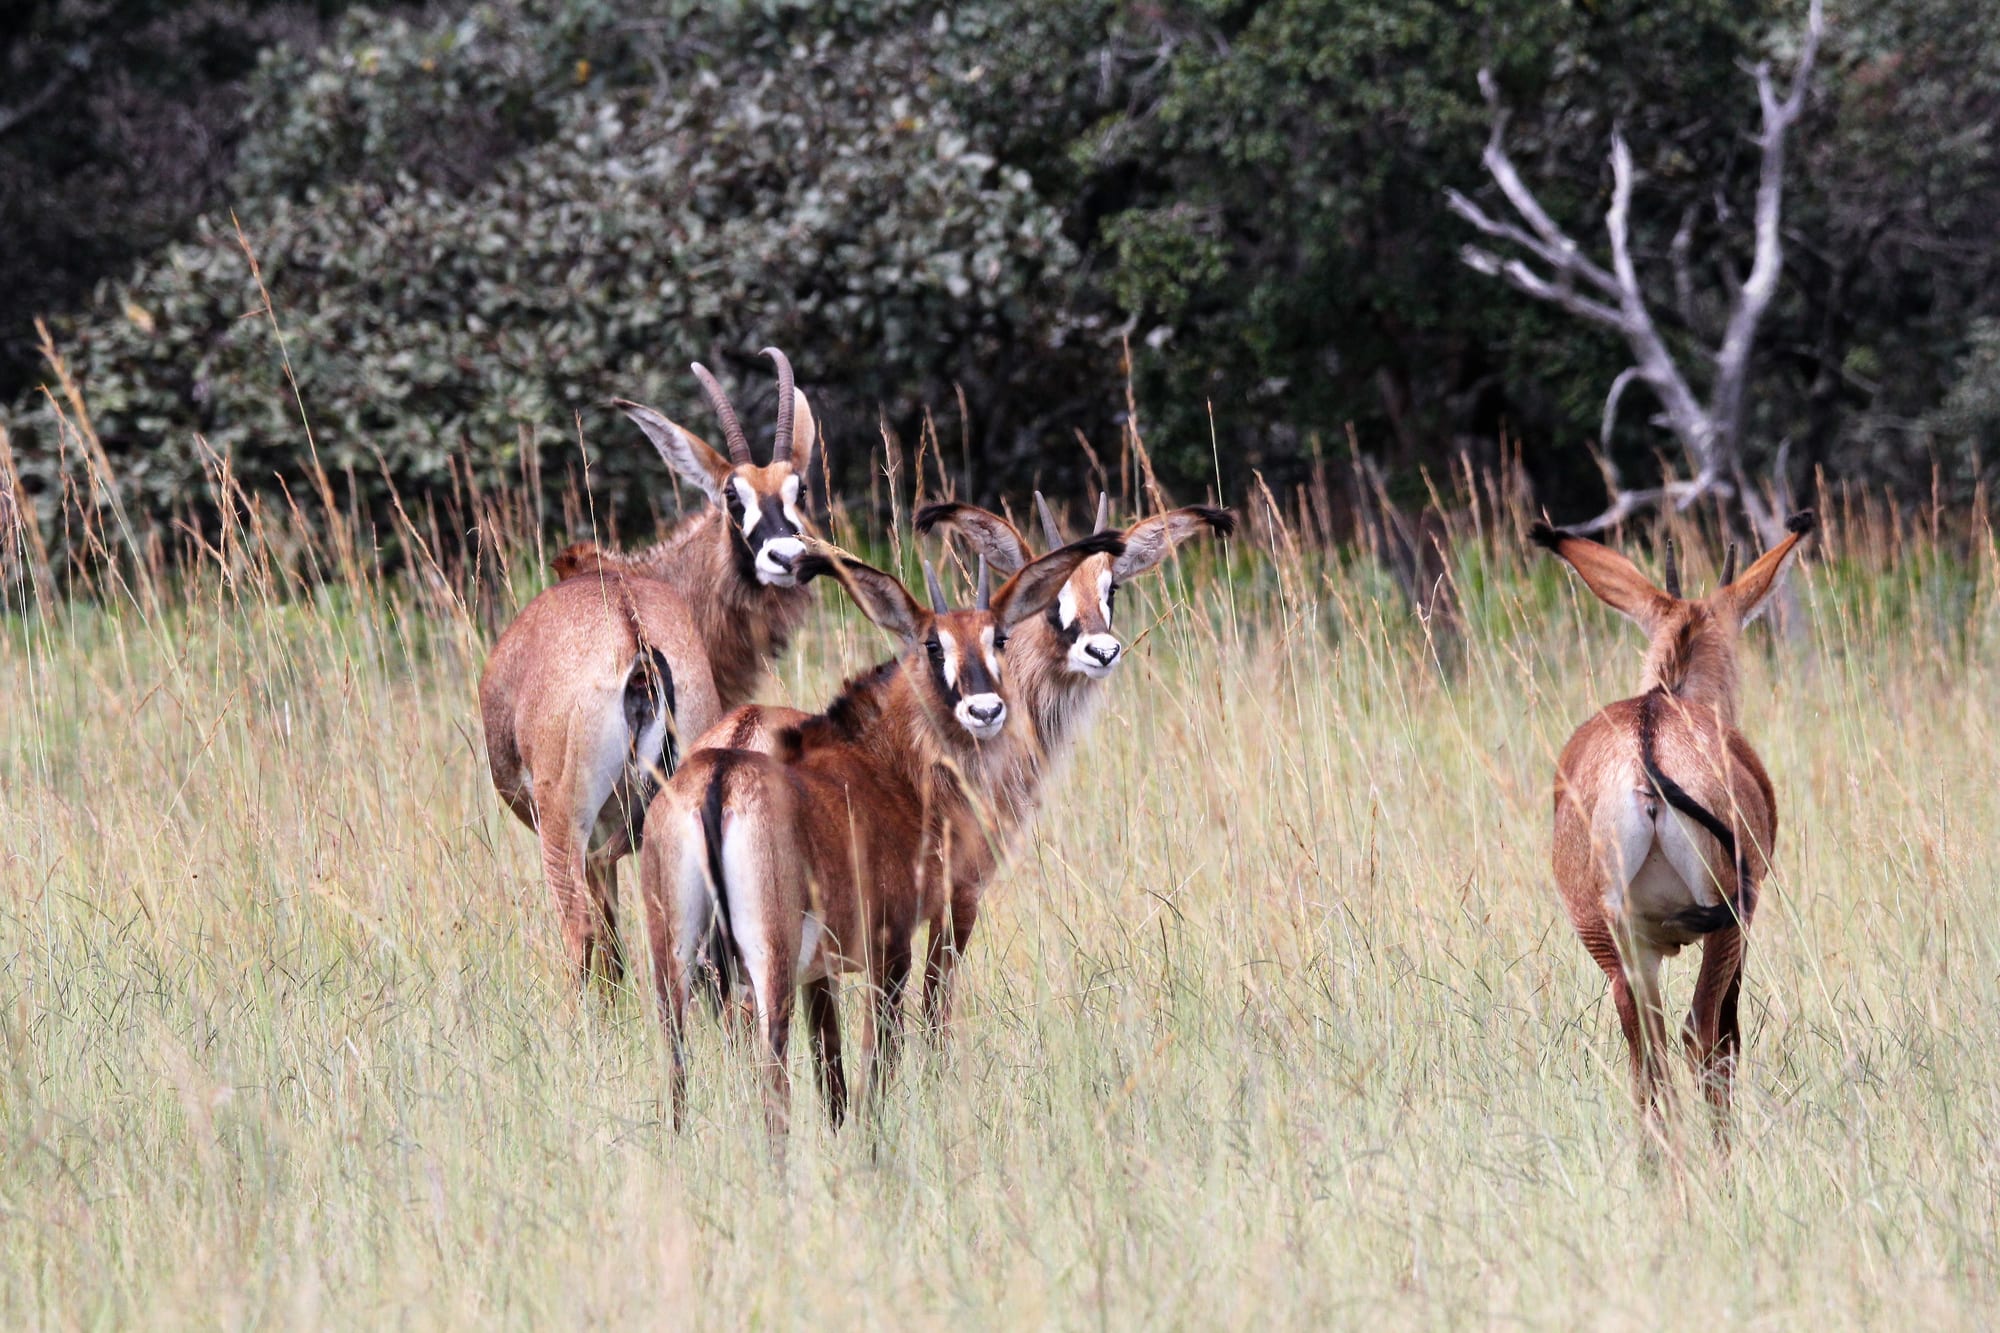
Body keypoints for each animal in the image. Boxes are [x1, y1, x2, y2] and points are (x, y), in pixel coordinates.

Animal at [479, 350, 822, 984]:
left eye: (800, 489)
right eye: (732, 496)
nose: (787, 557)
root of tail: (633, 638)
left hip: (568, 826)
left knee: (582, 936)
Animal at [639, 532, 1125, 1133]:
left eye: (999, 638)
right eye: (933, 645)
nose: (985, 709)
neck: (887, 766)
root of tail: (720, 774)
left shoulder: (821, 972)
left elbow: (834, 1073)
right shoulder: (898, 942)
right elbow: (886, 1058)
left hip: (675, 961)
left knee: (678, 1071)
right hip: (768, 963)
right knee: (773, 1076)